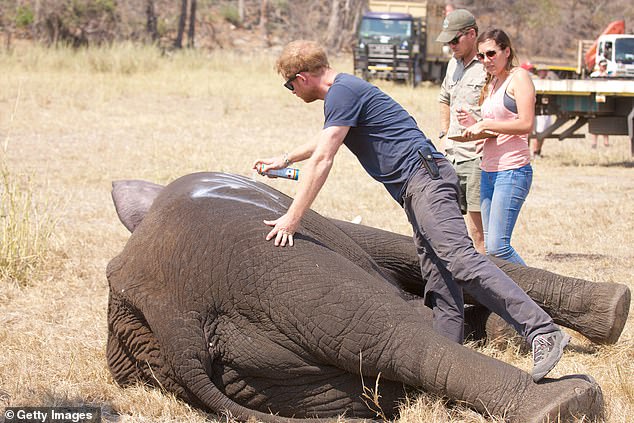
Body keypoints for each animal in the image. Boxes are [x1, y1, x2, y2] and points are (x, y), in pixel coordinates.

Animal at [107, 173, 624, 423]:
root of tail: (173, 321)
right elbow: (402, 250)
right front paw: (616, 306)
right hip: (266, 262)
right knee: (389, 331)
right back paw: (567, 403)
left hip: (283, 382)